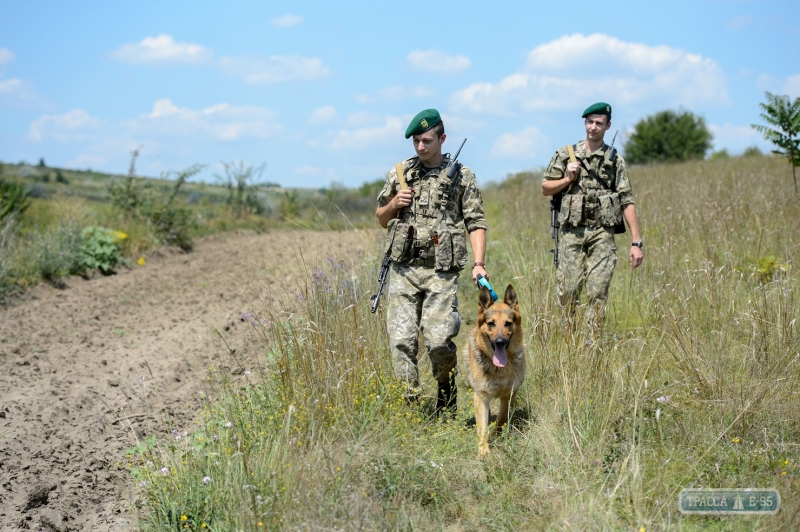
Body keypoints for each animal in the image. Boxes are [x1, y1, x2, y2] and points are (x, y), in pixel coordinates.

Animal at [462, 284, 524, 456]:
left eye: (508, 323)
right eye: (491, 324)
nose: (500, 341)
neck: (499, 368)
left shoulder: (509, 395)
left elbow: (501, 419)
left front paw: (496, 436)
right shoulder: (481, 397)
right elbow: (482, 427)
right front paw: (483, 451)